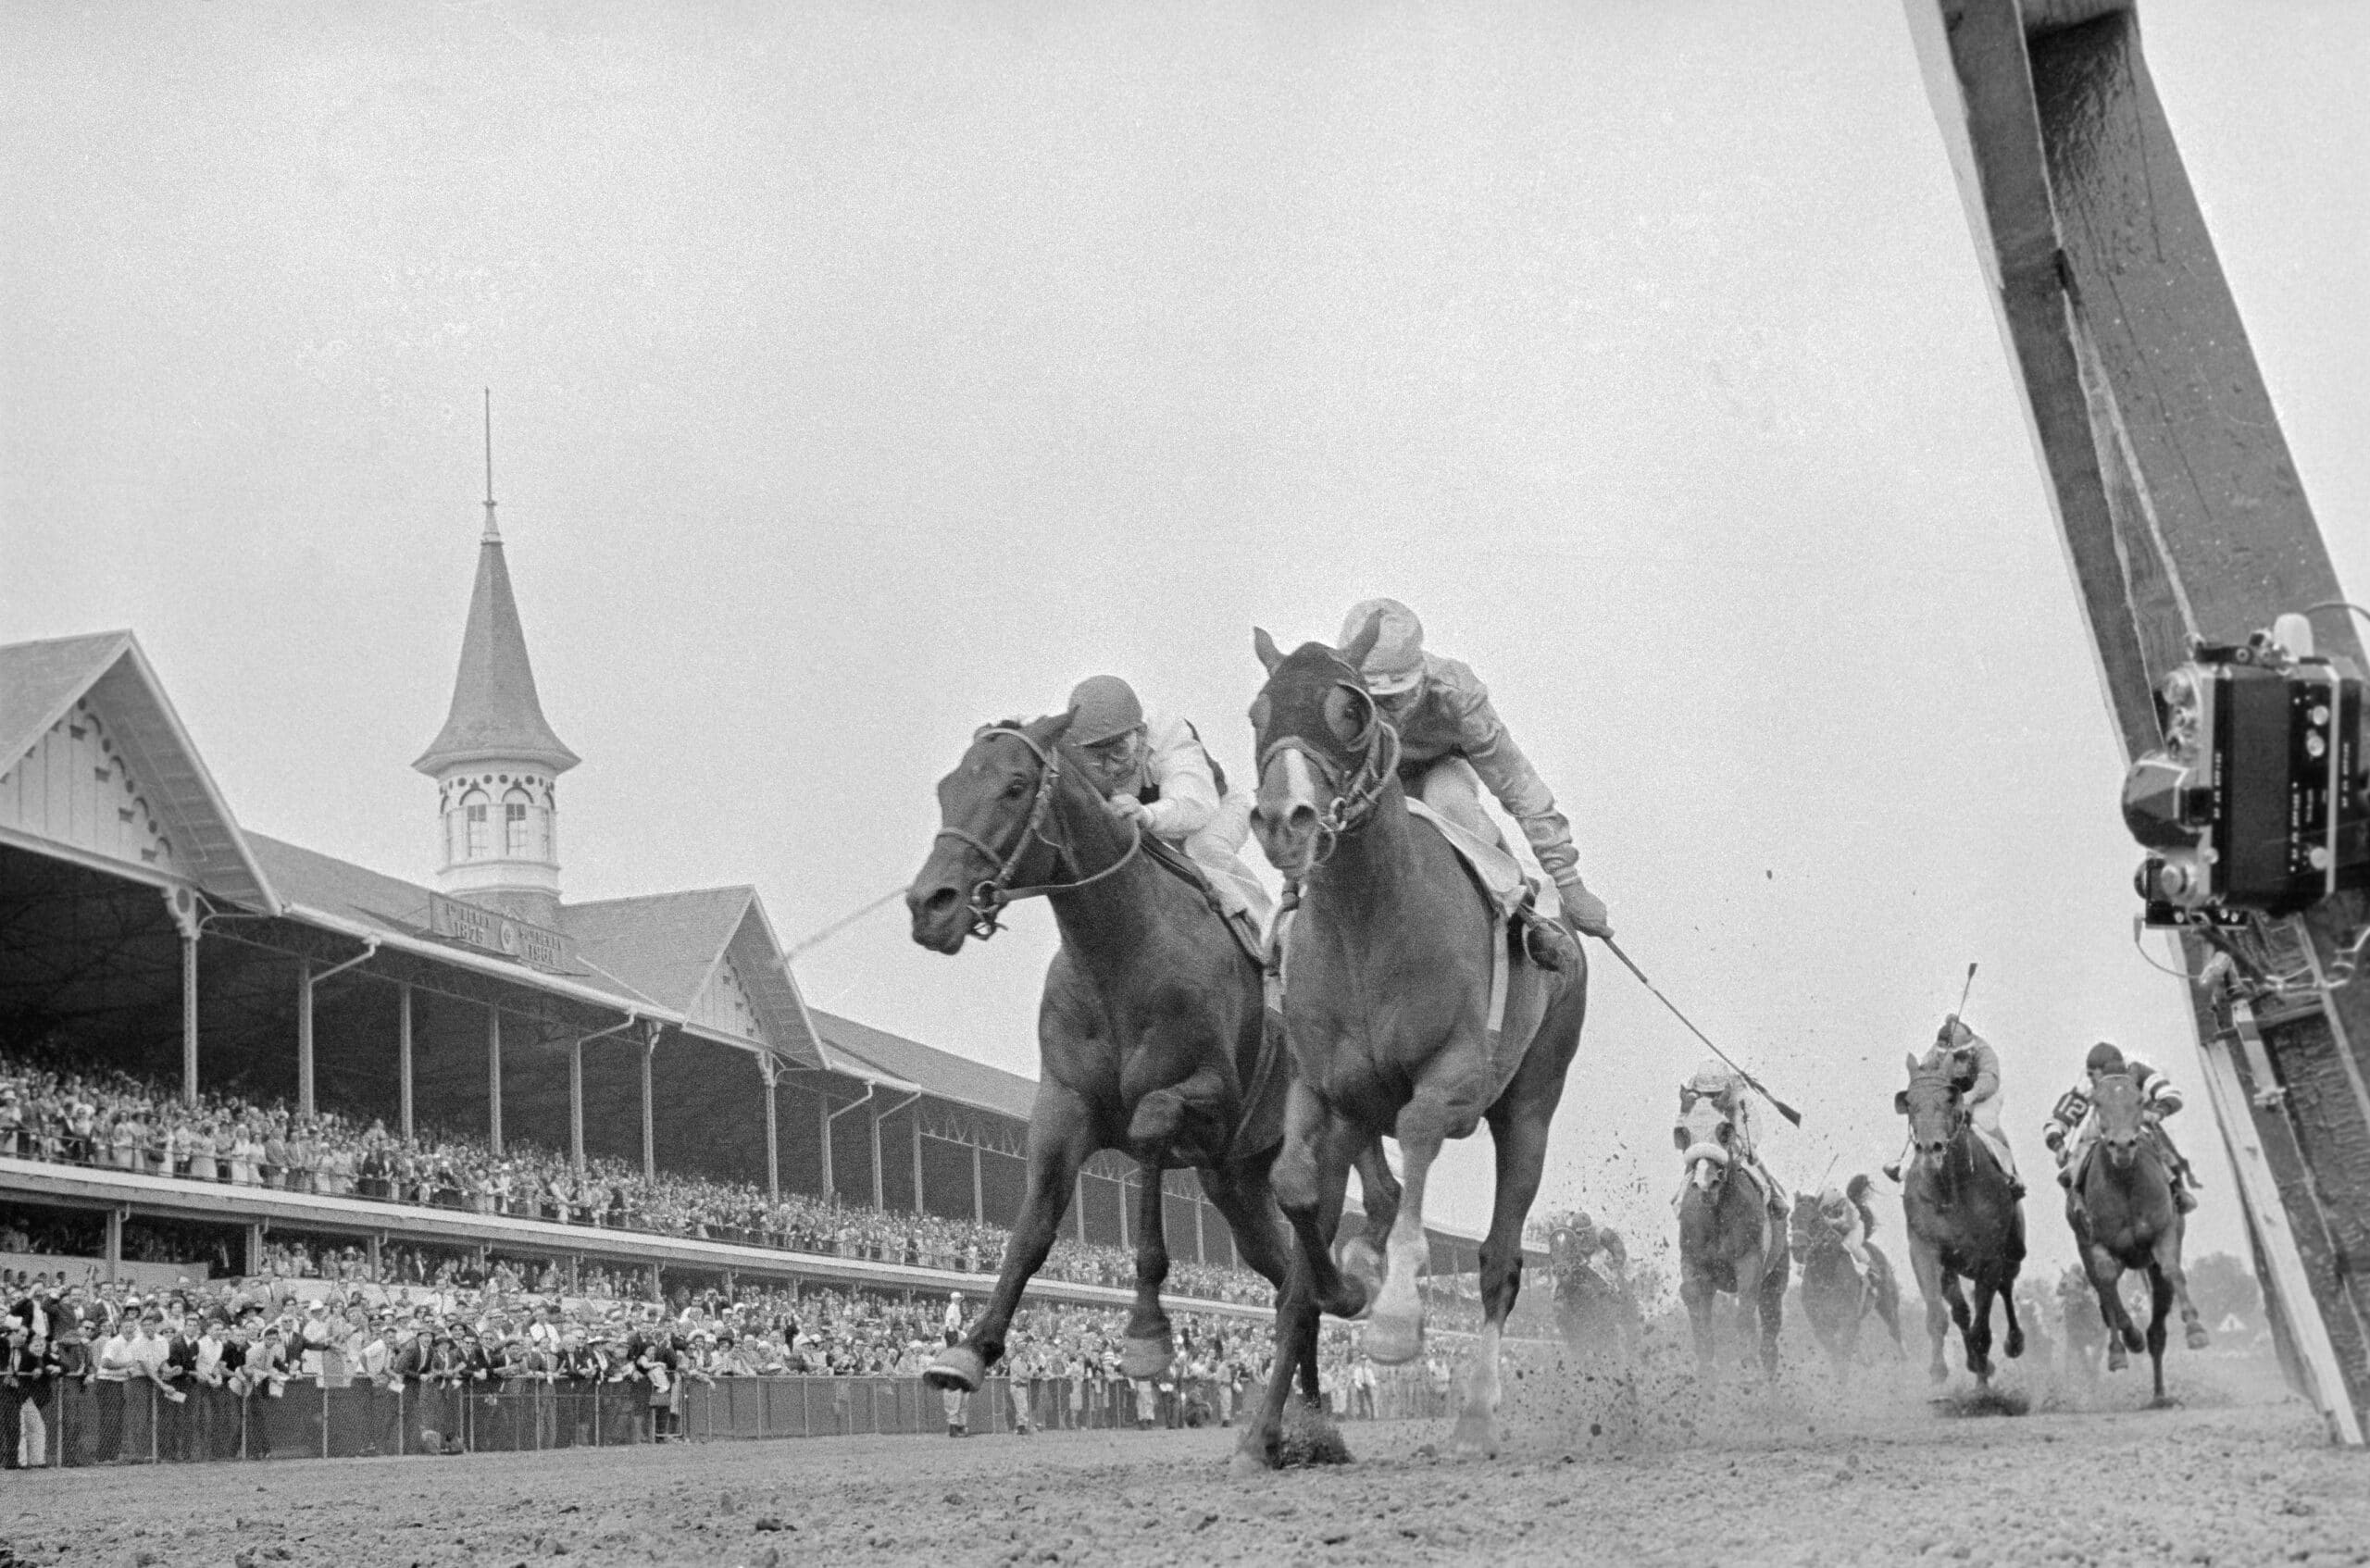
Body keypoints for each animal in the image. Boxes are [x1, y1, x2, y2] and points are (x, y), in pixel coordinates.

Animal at [900, 710, 1384, 1401]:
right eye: (947, 788)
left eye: (1015, 786)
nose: (929, 905)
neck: (1120, 952)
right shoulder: (1065, 1105)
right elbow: (1034, 1225)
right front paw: (971, 1348)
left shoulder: (1212, 1094)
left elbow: (1152, 1124)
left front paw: (1147, 1332)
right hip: (1234, 1183)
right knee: (1283, 1273)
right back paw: (1309, 1407)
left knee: (1316, 1252)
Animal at [1678, 1099, 1782, 1383]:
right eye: (1685, 1133)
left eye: (1725, 1131)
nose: (1706, 1183)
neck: (1716, 1215)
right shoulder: (1694, 1264)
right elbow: (1698, 1314)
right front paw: (1706, 1369)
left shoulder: (1749, 1262)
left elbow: (1744, 1313)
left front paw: (1748, 1368)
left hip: (1775, 1277)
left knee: (1770, 1338)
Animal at [1791, 1179, 1905, 1392]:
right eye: (1791, 1219)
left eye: (1814, 1220)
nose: (1797, 1249)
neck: (1825, 1276)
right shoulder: (1820, 1324)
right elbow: (1835, 1356)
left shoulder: (1847, 1319)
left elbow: (1843, 1355)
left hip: (1887, 1304)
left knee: (1896, 1333)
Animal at [1896, 1056, 2028, 1392]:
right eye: (1910, 1102)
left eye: (1949, 1098)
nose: (1931, 1149)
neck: (1950, 1190)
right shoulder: (1924, 1248)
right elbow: (1938, 1314)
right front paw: (1938, 1370)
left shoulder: (1990, 1257)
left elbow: (1983, 1325)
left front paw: (1982, 1378)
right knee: (1960, 1310)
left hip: (2013, 1251)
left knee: (2006, 1288)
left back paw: (2012, 1344)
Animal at [2076, 1075, 2199, 1401]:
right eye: (2097, 1103)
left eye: (2140, 1101)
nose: (2121, 1146)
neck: (2125, 1183)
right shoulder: (2097, 1244)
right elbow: (2107, 1285)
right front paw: (2119, 1351)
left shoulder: (2164, 1232)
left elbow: (2172, 1269)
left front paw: (2195, 1328)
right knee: (2107, 1298)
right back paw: (2132, 1339)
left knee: (2157, 1331)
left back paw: (2159, 1394)